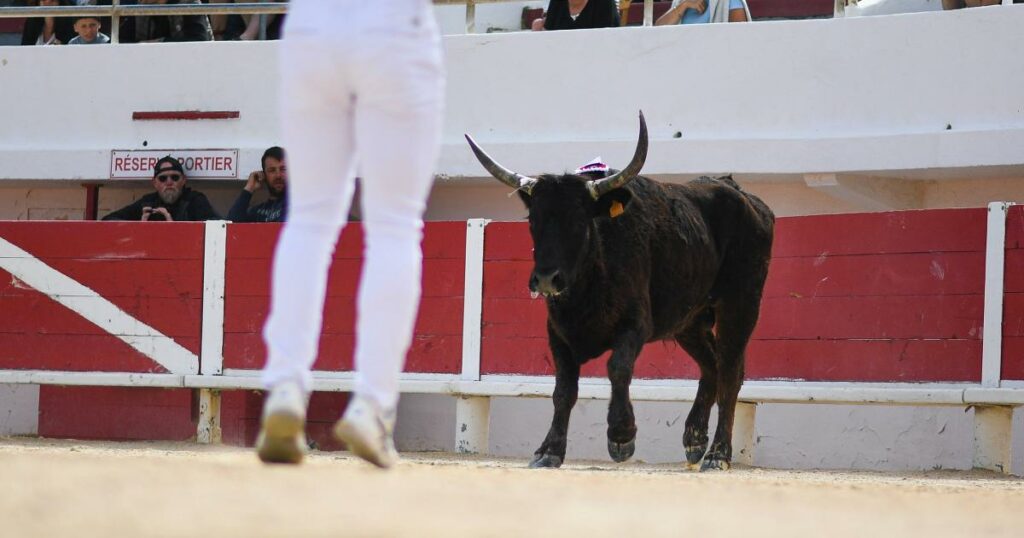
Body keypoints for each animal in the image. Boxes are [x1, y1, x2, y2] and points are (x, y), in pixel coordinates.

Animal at [466, 113, 774, 469]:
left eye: (580, 221)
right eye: (533, 220)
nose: (545, 279)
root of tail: (749, 200)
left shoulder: (635, 325)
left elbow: (617, 368)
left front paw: (621, 437)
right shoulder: (557, 332)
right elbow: (563, 389)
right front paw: (549, 450)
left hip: (741, 305)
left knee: (730, 373)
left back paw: (717, 454)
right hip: (689, 321)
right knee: (711, 365)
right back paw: (694, 440)